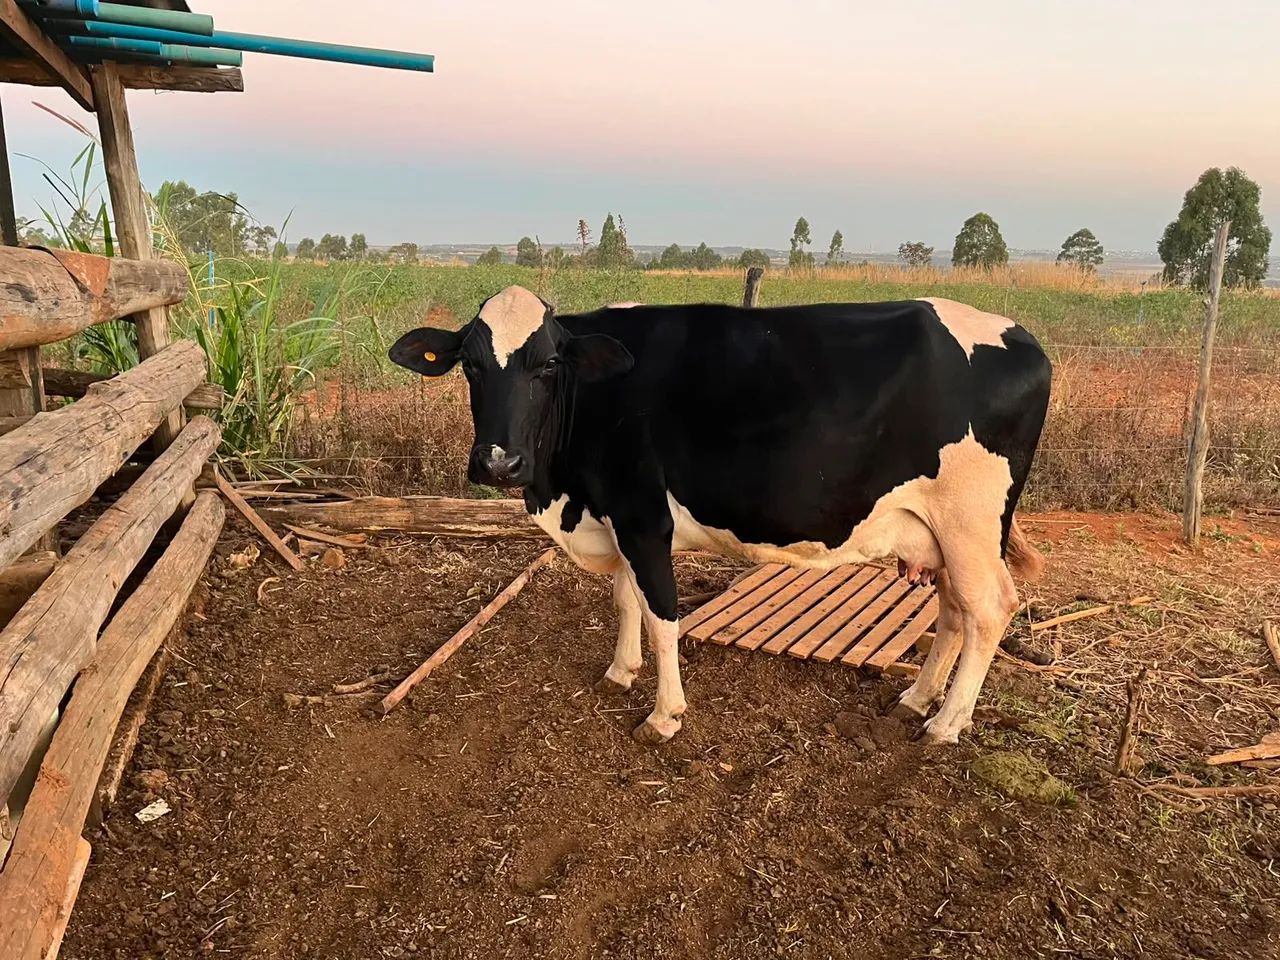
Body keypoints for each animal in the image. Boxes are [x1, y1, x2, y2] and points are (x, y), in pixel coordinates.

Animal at [389, 286, 1051, 745]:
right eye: (470, 364)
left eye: (548, 364)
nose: (499, 461)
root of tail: (1021, 336)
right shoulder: (617, 518)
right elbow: (625, 599)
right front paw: (620, 671)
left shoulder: (642, 516)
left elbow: (662, 616)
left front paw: (663, 715)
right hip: (941, 529)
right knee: (954, 608)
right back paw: (918, 699)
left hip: (970, 522)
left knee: (989, 607)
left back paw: (945, 724)